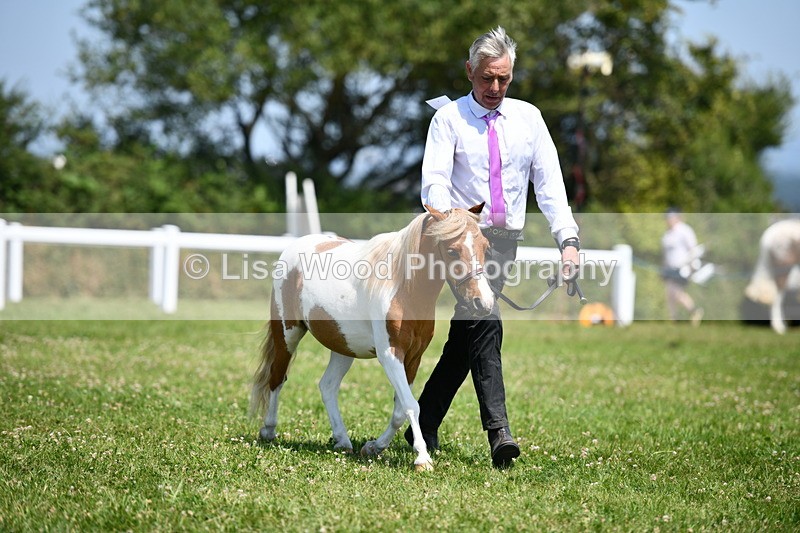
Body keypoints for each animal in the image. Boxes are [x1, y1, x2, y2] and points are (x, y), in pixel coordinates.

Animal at [250, 204, 494, 471]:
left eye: (485, 246)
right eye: (451, 250)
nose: (483, 302)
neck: (404, 289)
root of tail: (293, 249)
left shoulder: (413, 358)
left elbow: (400, 410)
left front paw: (374, 447)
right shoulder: (390, 355)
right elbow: (411, 405)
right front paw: (422, 458)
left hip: (343, 346)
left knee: (327, 386)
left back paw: (342, 440)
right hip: (288, 334)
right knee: (277, 377)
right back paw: (269, 431)